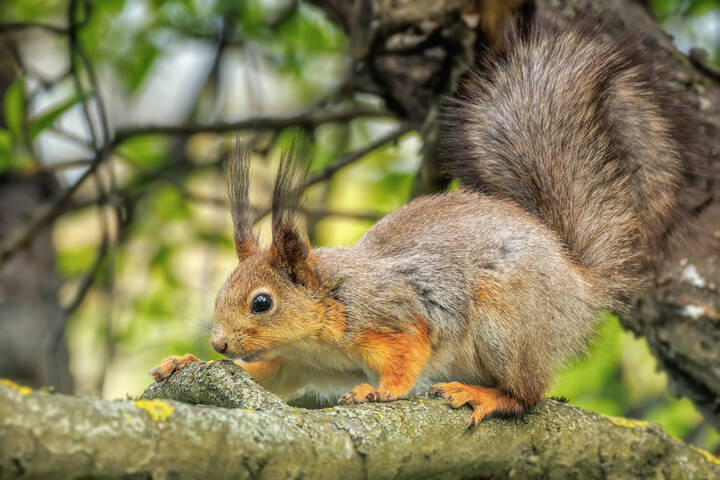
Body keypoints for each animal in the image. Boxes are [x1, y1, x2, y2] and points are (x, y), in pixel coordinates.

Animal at [150, 8, 702, 426]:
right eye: (222, 292)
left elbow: (408, 354)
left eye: (262, 303)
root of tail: (576, 281)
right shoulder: (294, 362)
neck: (328, 305)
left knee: (529, 395)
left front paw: (379, 392)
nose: (220, 342)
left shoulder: (394, 315)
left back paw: (487, 396)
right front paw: (188, 361)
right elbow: (267, 379)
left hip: (506, 324)